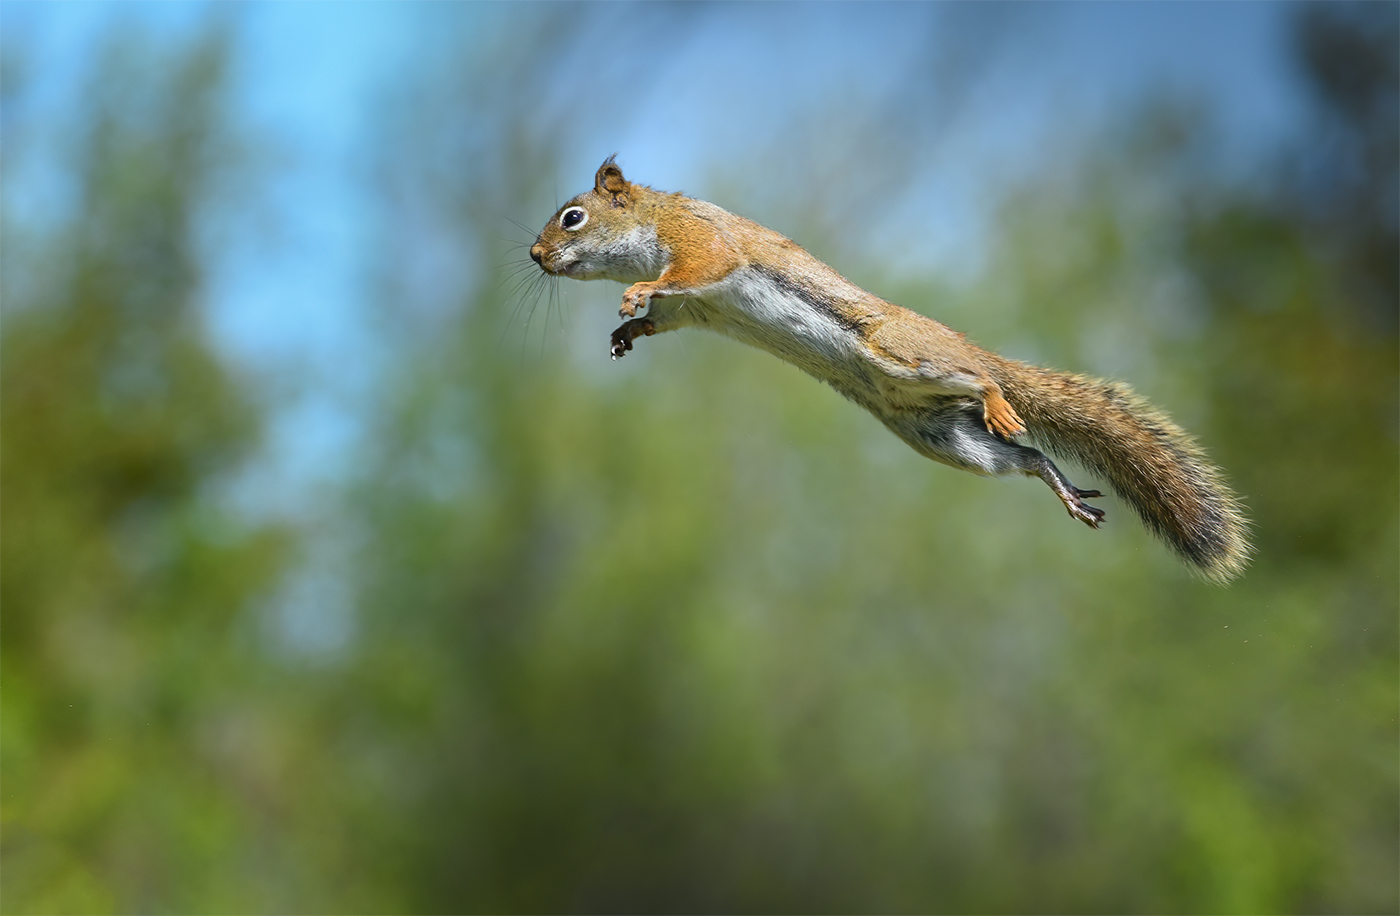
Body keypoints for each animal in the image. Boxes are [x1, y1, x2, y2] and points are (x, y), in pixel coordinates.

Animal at [530, 157, 1251, 583]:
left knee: (981, 382)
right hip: (942, 439)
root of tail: (971, 350)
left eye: (573, 217)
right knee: (1025, 457)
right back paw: (1066, 491)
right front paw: (628, 330)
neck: (653, 222)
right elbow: (669, 314)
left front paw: (632, 295)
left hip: (904, 353)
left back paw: (998, 394)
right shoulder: (694, 308)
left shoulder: (702, 246)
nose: (535, 254)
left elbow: (694, 268)